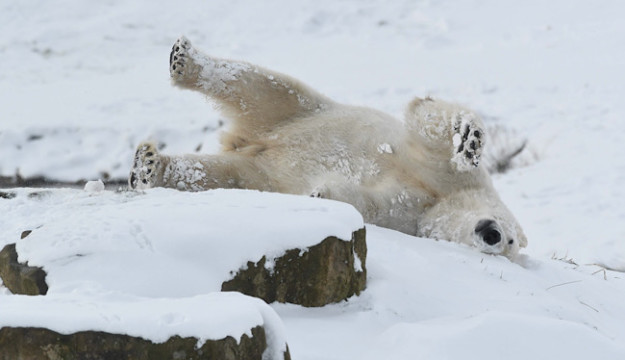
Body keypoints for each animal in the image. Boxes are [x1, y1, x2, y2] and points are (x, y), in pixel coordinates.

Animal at [130, 36, 528, 258]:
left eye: (508, 246)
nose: (492, 234)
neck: (441, 200)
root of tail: (251, 144)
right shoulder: (448, 178)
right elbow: (428, 121)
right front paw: (468, 139)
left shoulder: (410, 216)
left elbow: (370, 205)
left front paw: (322, 195)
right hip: (308, 111)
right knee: (267, 86)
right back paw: (184, 61)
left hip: (257, 174)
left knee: (217, 176)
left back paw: (149, 167)